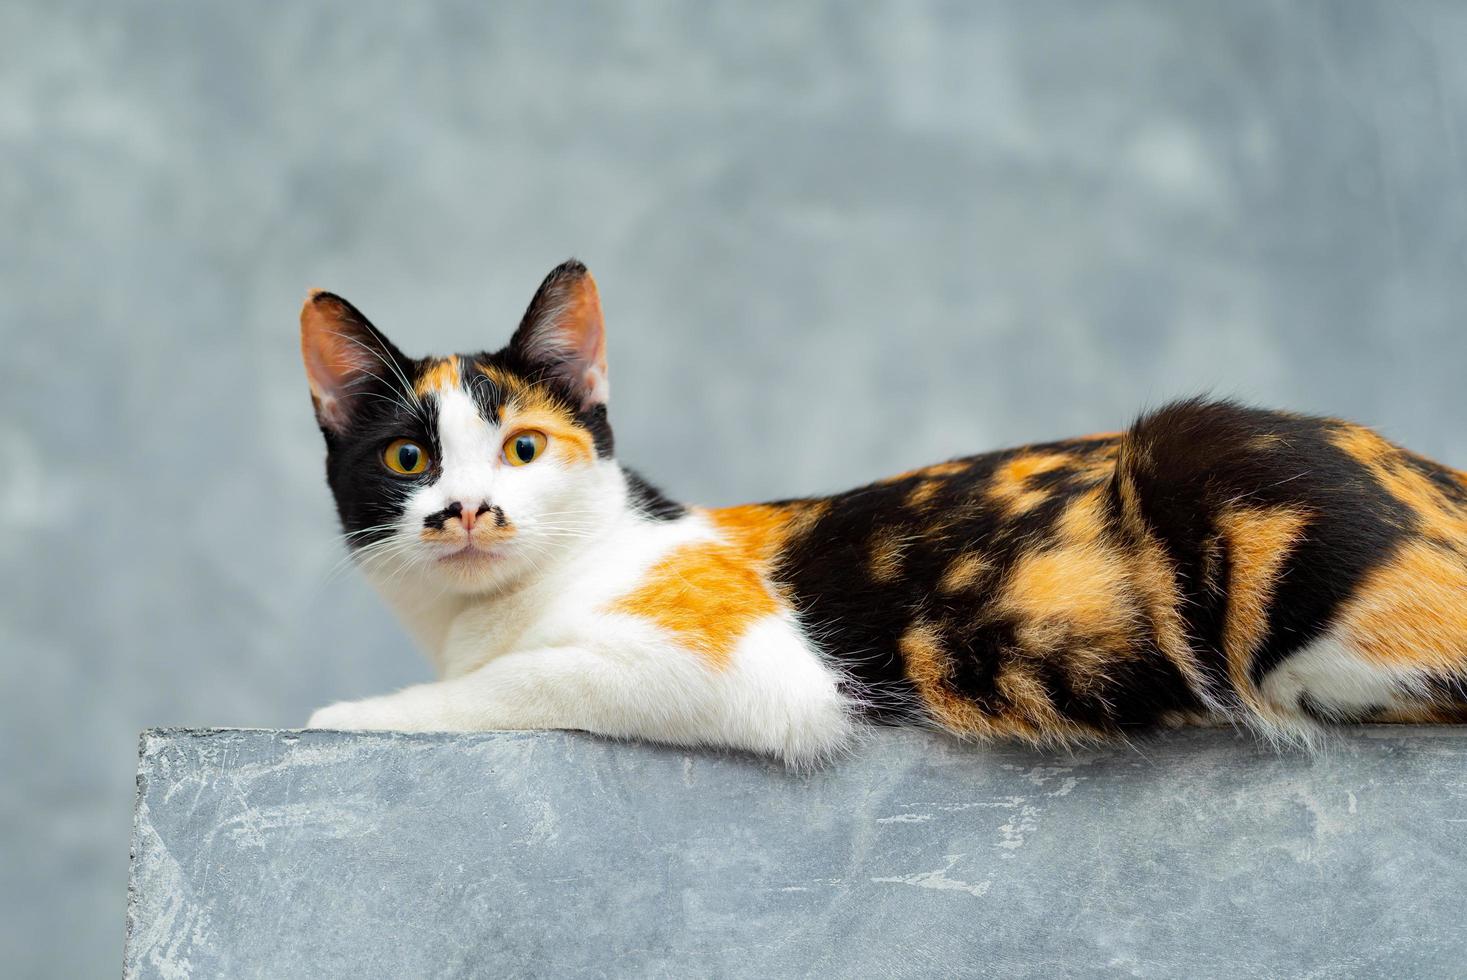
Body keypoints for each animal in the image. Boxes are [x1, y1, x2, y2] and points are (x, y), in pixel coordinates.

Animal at [297, 259, 1467, 762]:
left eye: (525, 448)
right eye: (408, 455)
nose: (466, 511)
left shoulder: (738, 664)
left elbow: (518, 683)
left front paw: (350, 712)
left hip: (1202, 458)